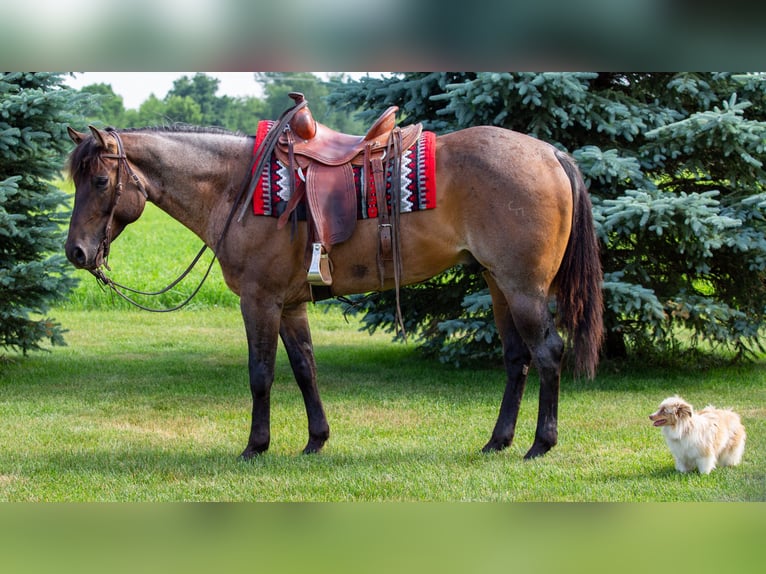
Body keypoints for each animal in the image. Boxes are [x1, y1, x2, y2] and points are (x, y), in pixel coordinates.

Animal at [65, 117, 603, 461]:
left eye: (98, 181)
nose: (76, 252)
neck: (236, 187)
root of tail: (549, 152)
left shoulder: (259, 301)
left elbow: (261, 375)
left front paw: (255, 446)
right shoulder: (289, 304)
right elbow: (305, 370)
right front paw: (316, 440)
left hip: (524, 287)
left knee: (549, 353)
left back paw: (540, 444)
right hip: (497, 284)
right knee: (517, 359)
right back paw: (498, 441)